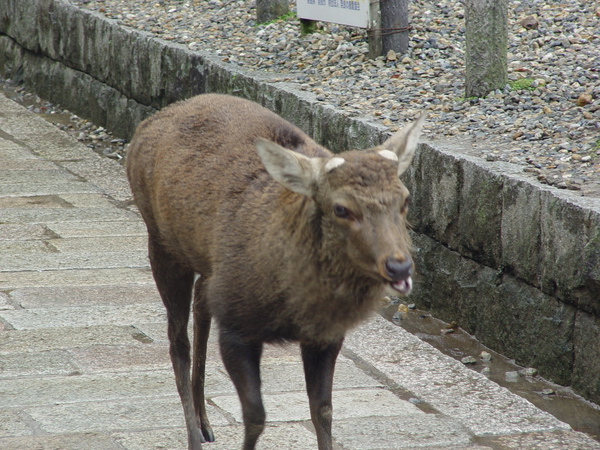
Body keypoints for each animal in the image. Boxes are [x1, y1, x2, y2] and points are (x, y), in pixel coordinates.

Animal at [126, 93, 424, 448]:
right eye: (341, 208)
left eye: (405, 199)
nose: (399, 265)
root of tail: (146, 125)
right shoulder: (236, 328)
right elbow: (255, 415)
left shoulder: (327, 335)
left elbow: (323, 410)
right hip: (161, 240)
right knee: (177, 341)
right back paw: (194, 435)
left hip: (205, 261)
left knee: (201, 302)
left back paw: (205, 422)